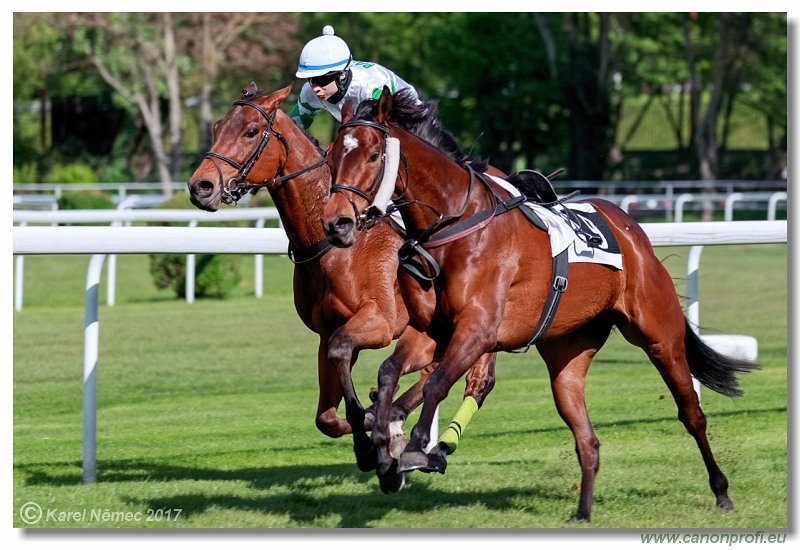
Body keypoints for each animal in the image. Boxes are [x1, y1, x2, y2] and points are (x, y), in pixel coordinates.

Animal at [188, 83, 500, 488]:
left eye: (251, 131)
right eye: (216, 127)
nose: (200, 186)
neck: (330, 246)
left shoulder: (379, 322)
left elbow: (348, 365)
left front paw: (377, 436)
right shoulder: (328, 331)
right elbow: (326, 412)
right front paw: (373, 436)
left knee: (474, 378)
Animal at [318, 86, 756, 520]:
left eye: (373, 155)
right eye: (333, 154)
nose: (336, 223)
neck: (455, 227)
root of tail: (633, 231)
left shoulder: (478, 330)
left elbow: (438, 382)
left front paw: (414, 449)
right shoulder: (433, 331)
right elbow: (388, 372)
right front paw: (379, 448)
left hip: (659, 336)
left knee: (691, 413)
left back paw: (722, 491)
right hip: (567, 355)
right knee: (587, 437)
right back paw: (583, 511)